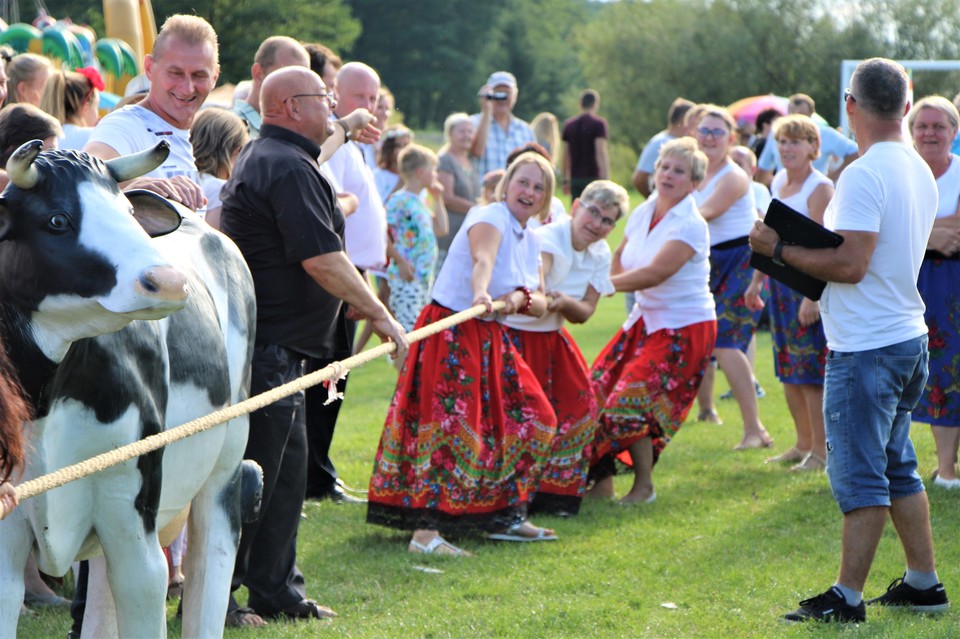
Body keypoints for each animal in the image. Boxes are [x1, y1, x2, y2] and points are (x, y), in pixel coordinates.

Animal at [0, 141, 255, 639]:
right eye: (57, 219)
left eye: (127, 211)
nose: (169, 280)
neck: (44, 400)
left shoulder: (132, 512)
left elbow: (146, 585)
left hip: (226, 461)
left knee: (212, 559)